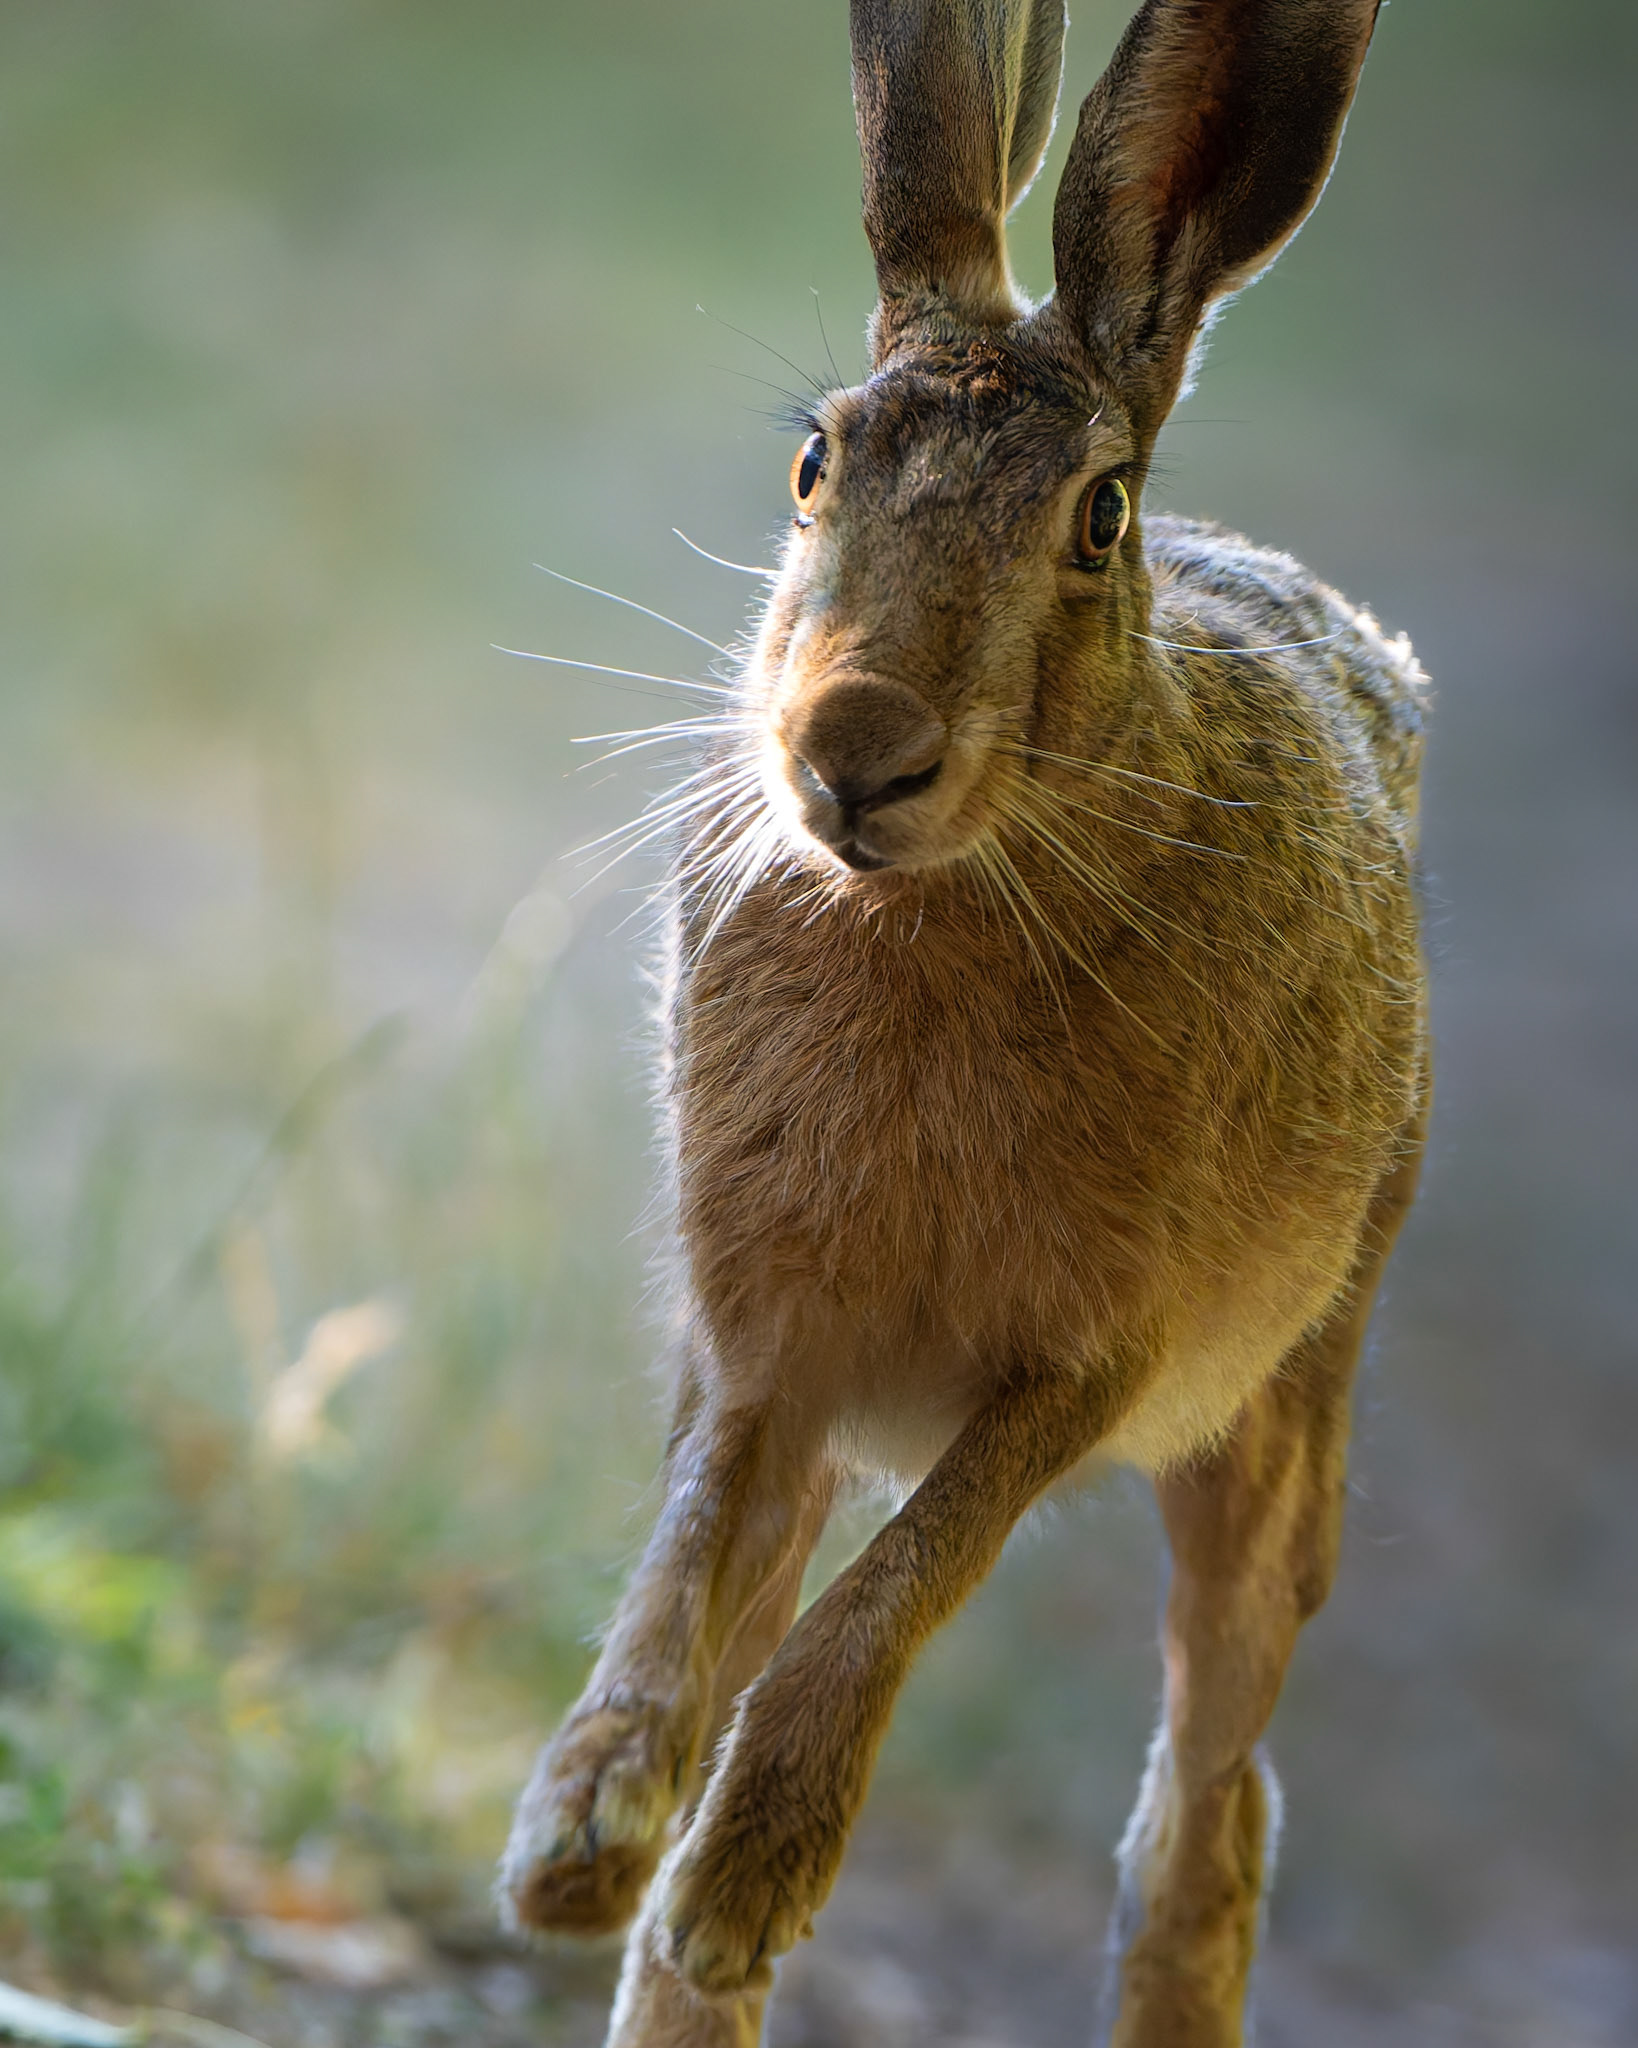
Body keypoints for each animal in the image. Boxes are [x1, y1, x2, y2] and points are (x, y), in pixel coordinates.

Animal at [501, 1, 1430, 2043]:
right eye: (812, 467)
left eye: (1098, 517)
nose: (854, 749)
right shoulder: (758, 1342)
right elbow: (691, 1554)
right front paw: (581, 1840)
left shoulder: (1086, 1356)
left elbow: (905, 1582)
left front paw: (741, 1878)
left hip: (1281, 1405)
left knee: (1209, 1796)